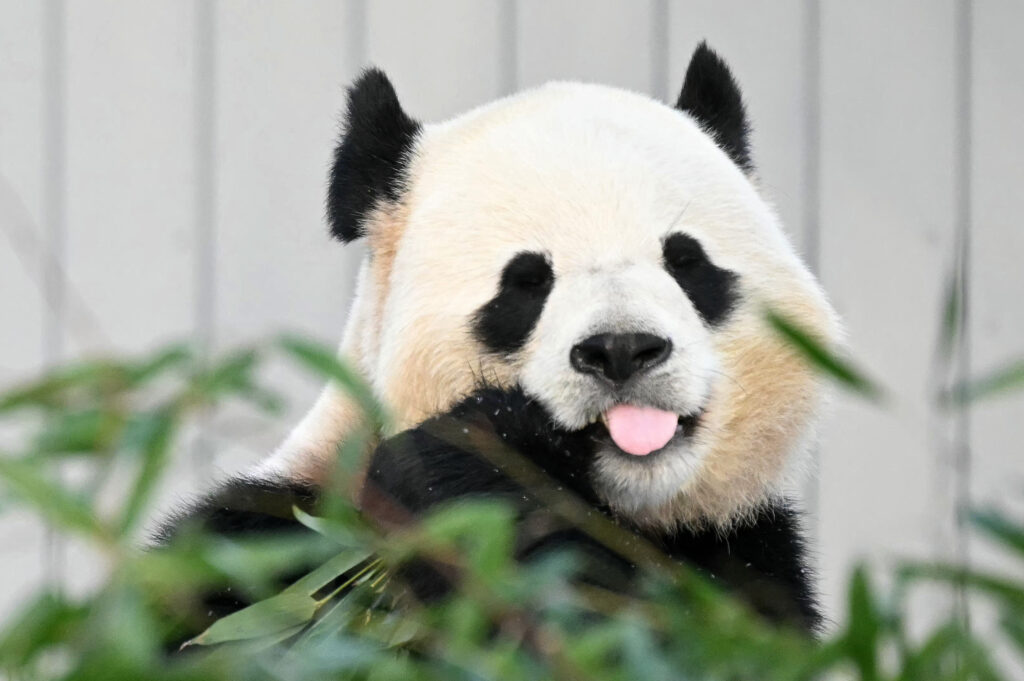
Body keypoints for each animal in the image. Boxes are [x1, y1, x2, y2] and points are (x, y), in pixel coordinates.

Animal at [159, 42, 841, 638]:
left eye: (685, 262)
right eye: (527, 282)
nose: (621, 349)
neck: (630, 507)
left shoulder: (750, 556)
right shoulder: (263, 544)